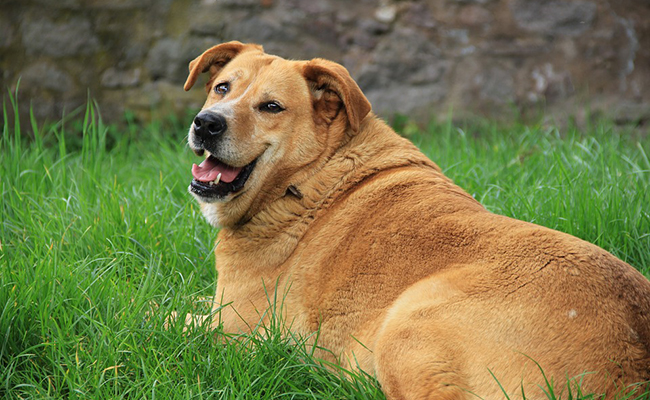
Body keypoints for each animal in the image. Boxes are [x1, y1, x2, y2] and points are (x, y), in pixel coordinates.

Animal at [181, 41, 648, 400]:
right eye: (222, 88)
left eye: (271, 107)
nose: (206, 123)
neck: (308, 178)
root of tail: (632, 367)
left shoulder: (233, 328)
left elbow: (168, 317)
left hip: (407, 325)